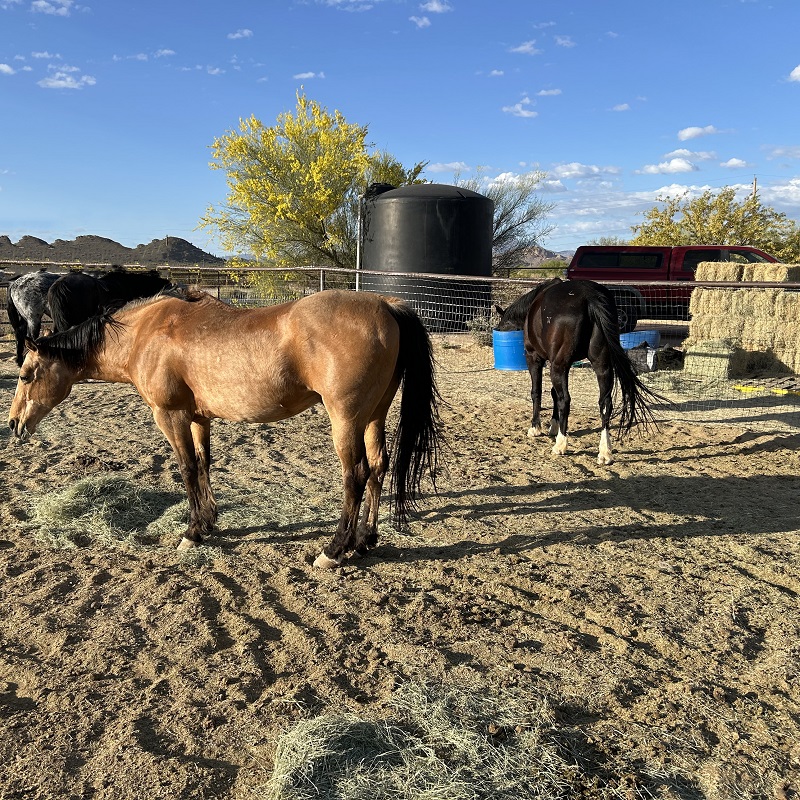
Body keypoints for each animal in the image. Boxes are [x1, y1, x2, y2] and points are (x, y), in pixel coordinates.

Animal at [8, 289, 442, 569]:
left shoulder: (170, 416)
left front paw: (191, 532)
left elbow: (185, 469)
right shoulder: (198, 417)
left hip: (346, 419)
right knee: (379, 467)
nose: (14, 424)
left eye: (27, 374)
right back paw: (366, 539)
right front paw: (210, 521)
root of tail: (385, 304)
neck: (145, 333)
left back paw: (334, 551)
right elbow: (203, 464)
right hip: (374, 415)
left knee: (356, 475)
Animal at [495, 277, 661, 465]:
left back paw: (561, 444)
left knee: (565, 400)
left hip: (559, 365)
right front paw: (554, 425)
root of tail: (590, 297)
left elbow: (537, 392)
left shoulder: (536, 358)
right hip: (601, 365)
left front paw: (536, 427)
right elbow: (553, 393)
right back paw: (605, 452)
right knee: (605, 403)